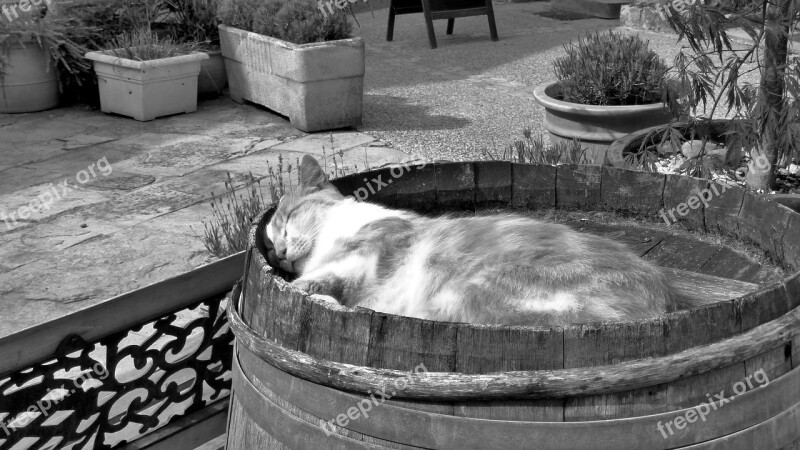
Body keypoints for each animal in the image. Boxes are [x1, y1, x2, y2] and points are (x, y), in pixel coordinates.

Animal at [266, 155, 680, 324]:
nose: (280, 254)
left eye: (287, 220)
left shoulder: (364, 256)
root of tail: (661, 297)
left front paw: (309, 293)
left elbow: (313, 283)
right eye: (268, 245)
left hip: (467, 294)